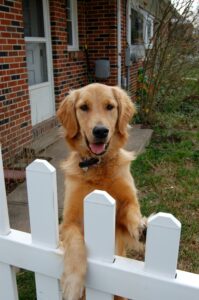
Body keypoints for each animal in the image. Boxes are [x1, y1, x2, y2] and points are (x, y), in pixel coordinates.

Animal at [57, 82, 146, 300]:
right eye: (84, 107)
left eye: (110, 106)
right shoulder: (69, 222)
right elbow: (76, 244)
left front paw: (141, 226)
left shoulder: (125, 208)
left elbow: (132, 212)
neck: (98, 165)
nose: (100, 131)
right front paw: (72, 283)